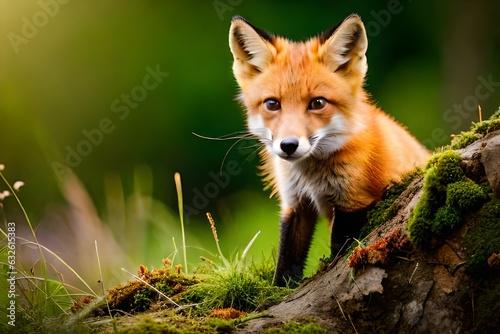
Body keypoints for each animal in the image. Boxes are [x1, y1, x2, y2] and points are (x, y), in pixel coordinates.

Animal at [229, 15, 432, 288]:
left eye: (317, 103)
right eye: (272, 104)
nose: (289, 145)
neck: (311, 177)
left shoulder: (354, 202)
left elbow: (338, 253)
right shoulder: (296, 203)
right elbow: (286, 261)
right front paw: (280, 291)